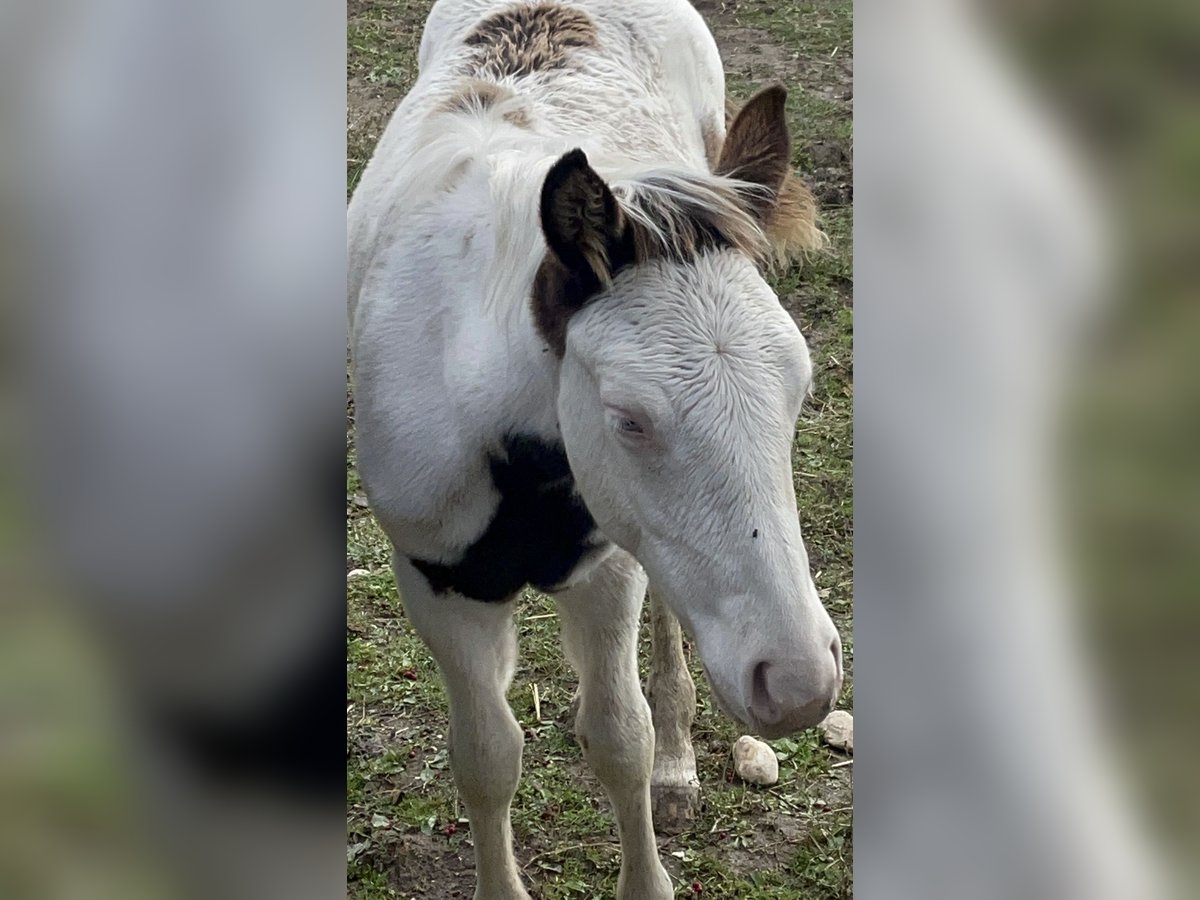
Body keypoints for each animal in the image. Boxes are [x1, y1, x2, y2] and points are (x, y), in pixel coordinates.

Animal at [348, 1, 843, 896]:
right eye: (628, 418)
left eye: (799, 386)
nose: (799, 684)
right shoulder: (434, 582)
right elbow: (485, 758)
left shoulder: (607, 566)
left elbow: (621, 739)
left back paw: (679, 765)